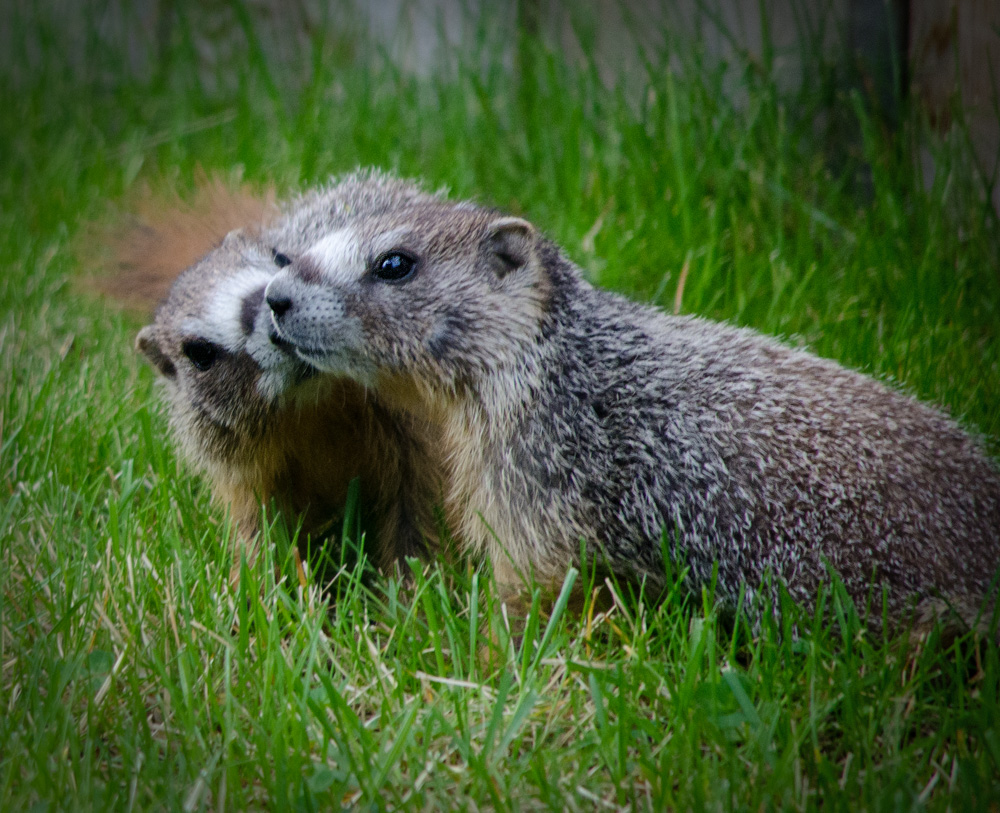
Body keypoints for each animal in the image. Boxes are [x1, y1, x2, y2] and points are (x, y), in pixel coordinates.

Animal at [129, 170, 443, 578]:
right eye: (199, 353)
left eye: (280, 257)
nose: (276, 324)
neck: (316, 408)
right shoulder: (245, 472)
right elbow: (261, 531)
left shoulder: (411, 432)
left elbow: (416, 505)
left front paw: (409, 588)